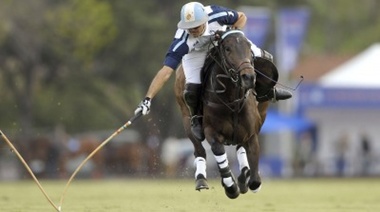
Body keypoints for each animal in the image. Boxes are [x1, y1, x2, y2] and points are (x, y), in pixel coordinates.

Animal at [174, 30, 272, 199]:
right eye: (227, 49)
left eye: (249, 47)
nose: (248, 77)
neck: (232, 101)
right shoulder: (211, 132)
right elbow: (218, 152)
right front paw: (230, 187)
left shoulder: (252, 133)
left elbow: (255, 180)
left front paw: (245, 180)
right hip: (186, 118)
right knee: (199, 148)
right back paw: (201, 179)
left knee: (240, 146)